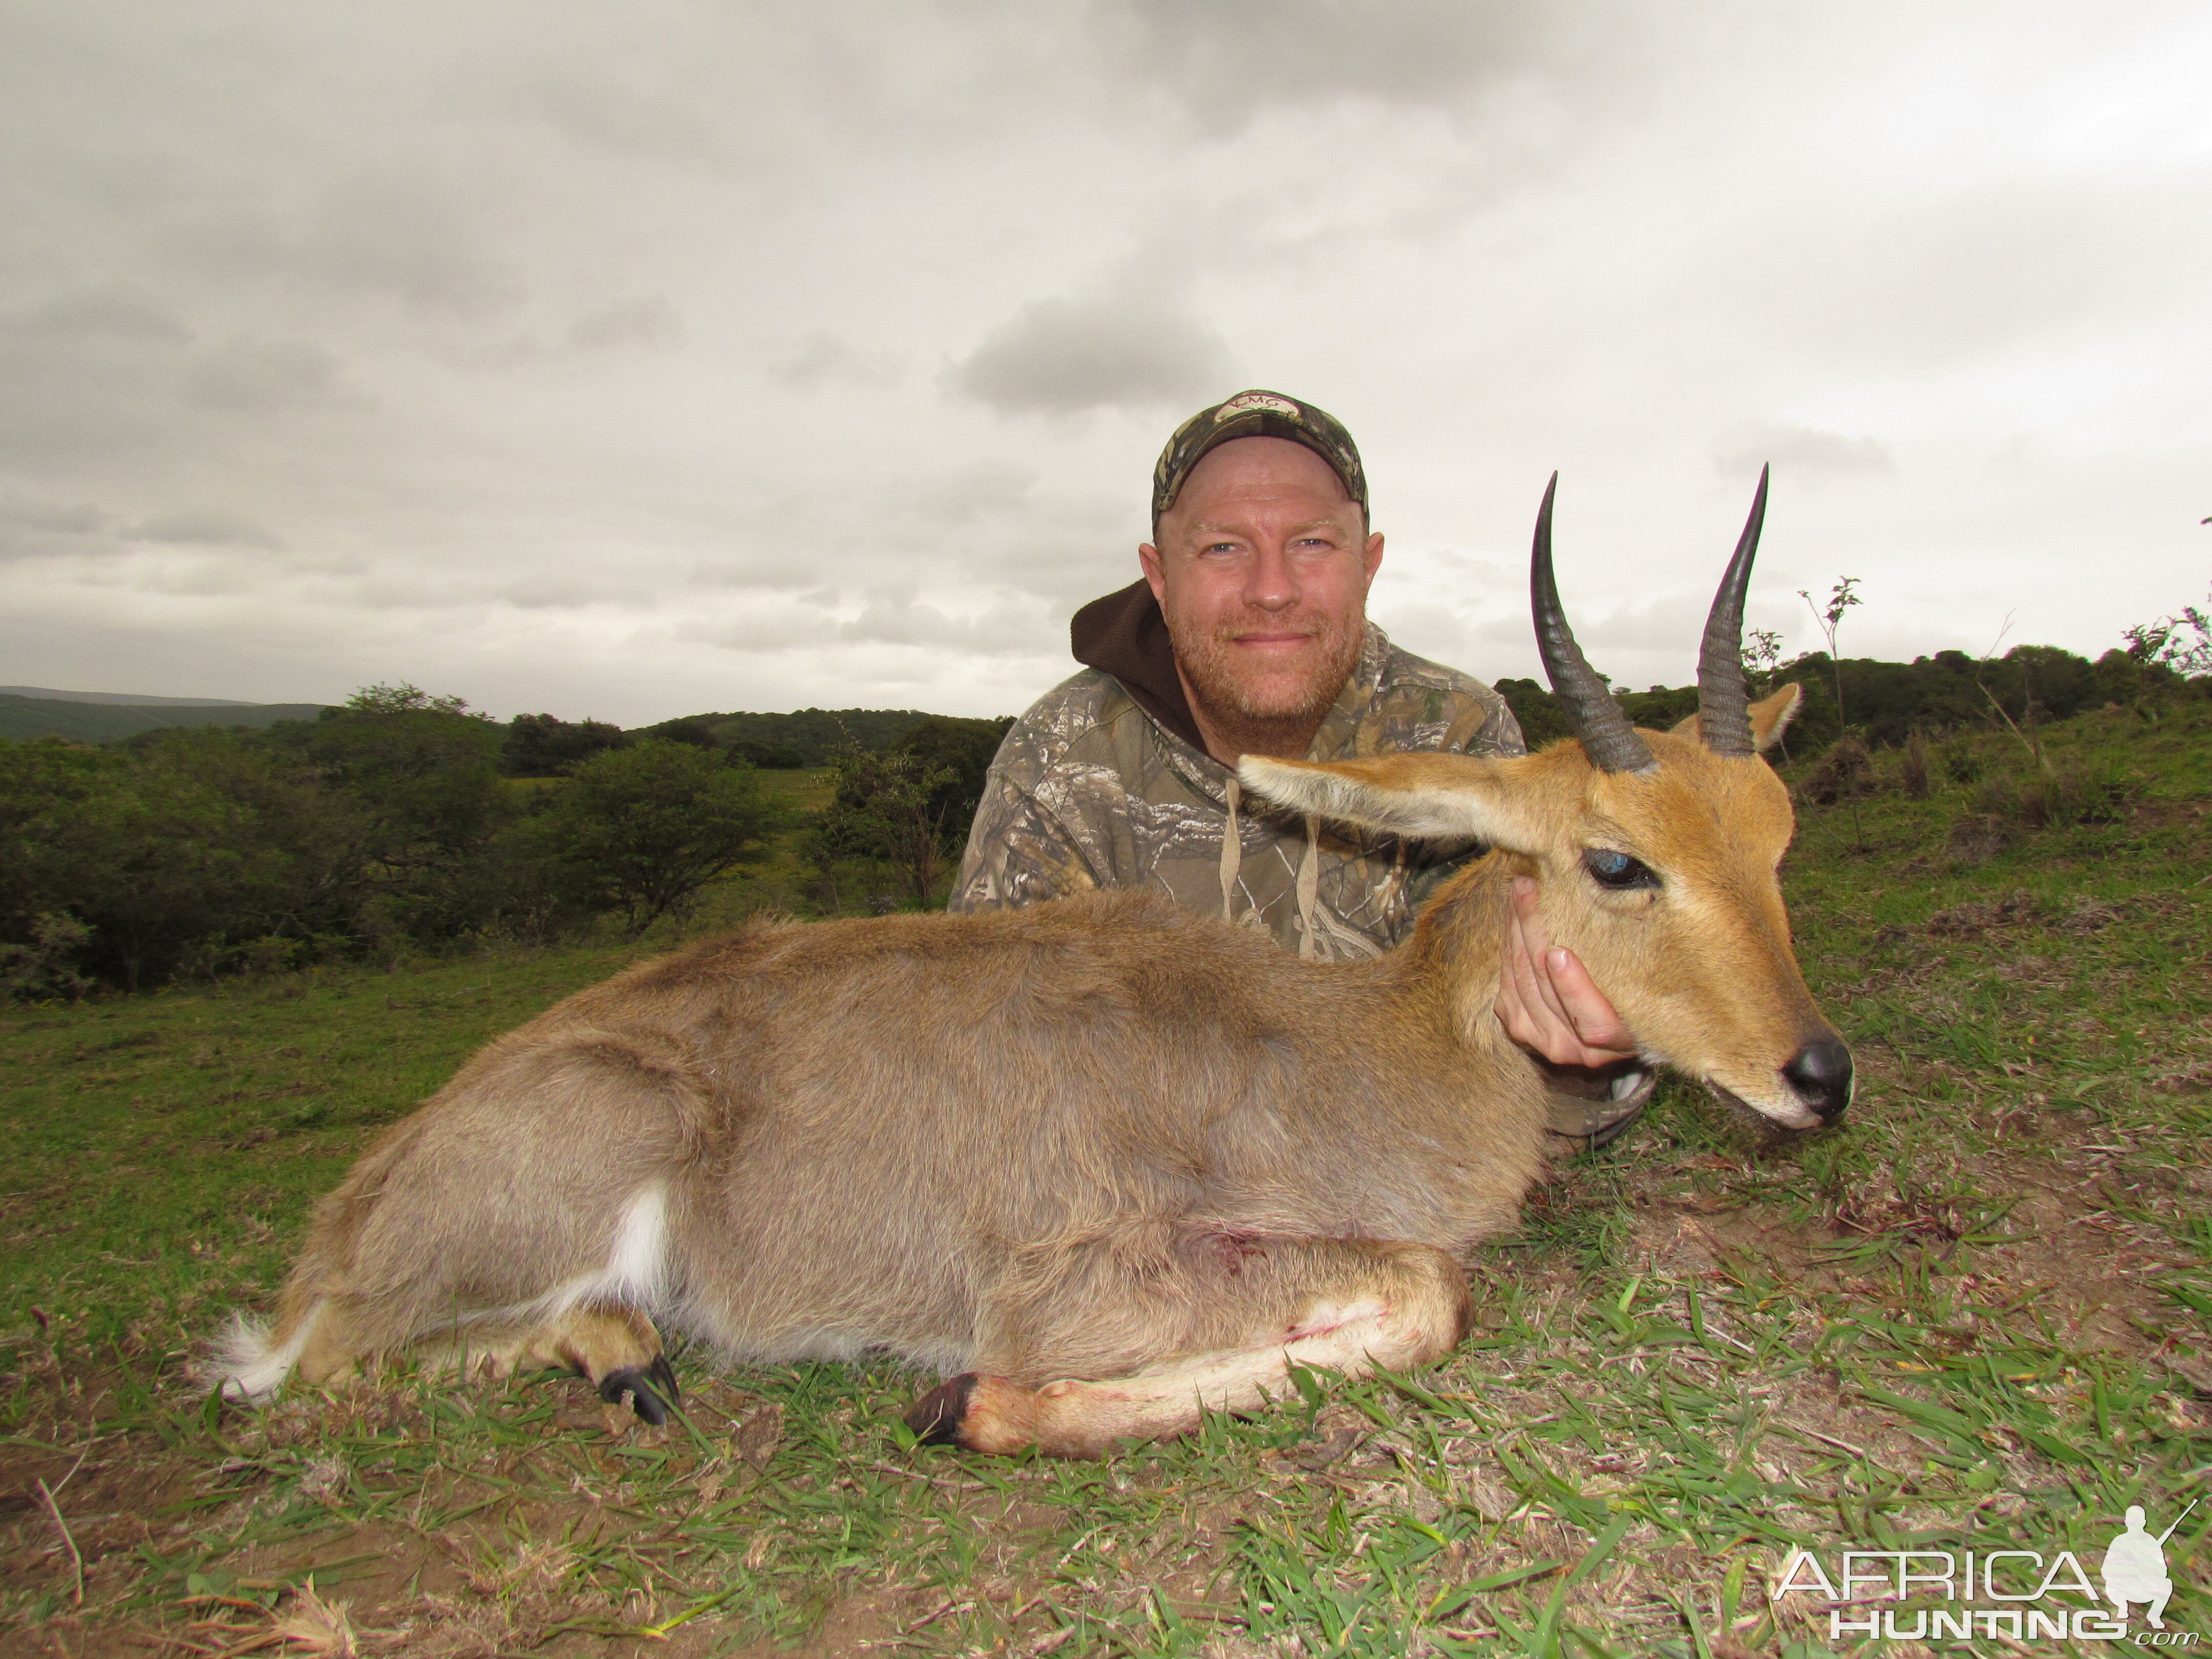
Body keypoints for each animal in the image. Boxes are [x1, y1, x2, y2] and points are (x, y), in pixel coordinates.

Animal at [220, 469, 1849, 1451]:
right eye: (1617, 858)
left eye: (1775, 833)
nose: (1819, 1073)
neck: (1368, 1050)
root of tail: (357, 1203)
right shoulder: (1076, 1281)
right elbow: (1432, 1294)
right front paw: (970, 1405)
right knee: (304, 1363)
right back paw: (615, 1356)